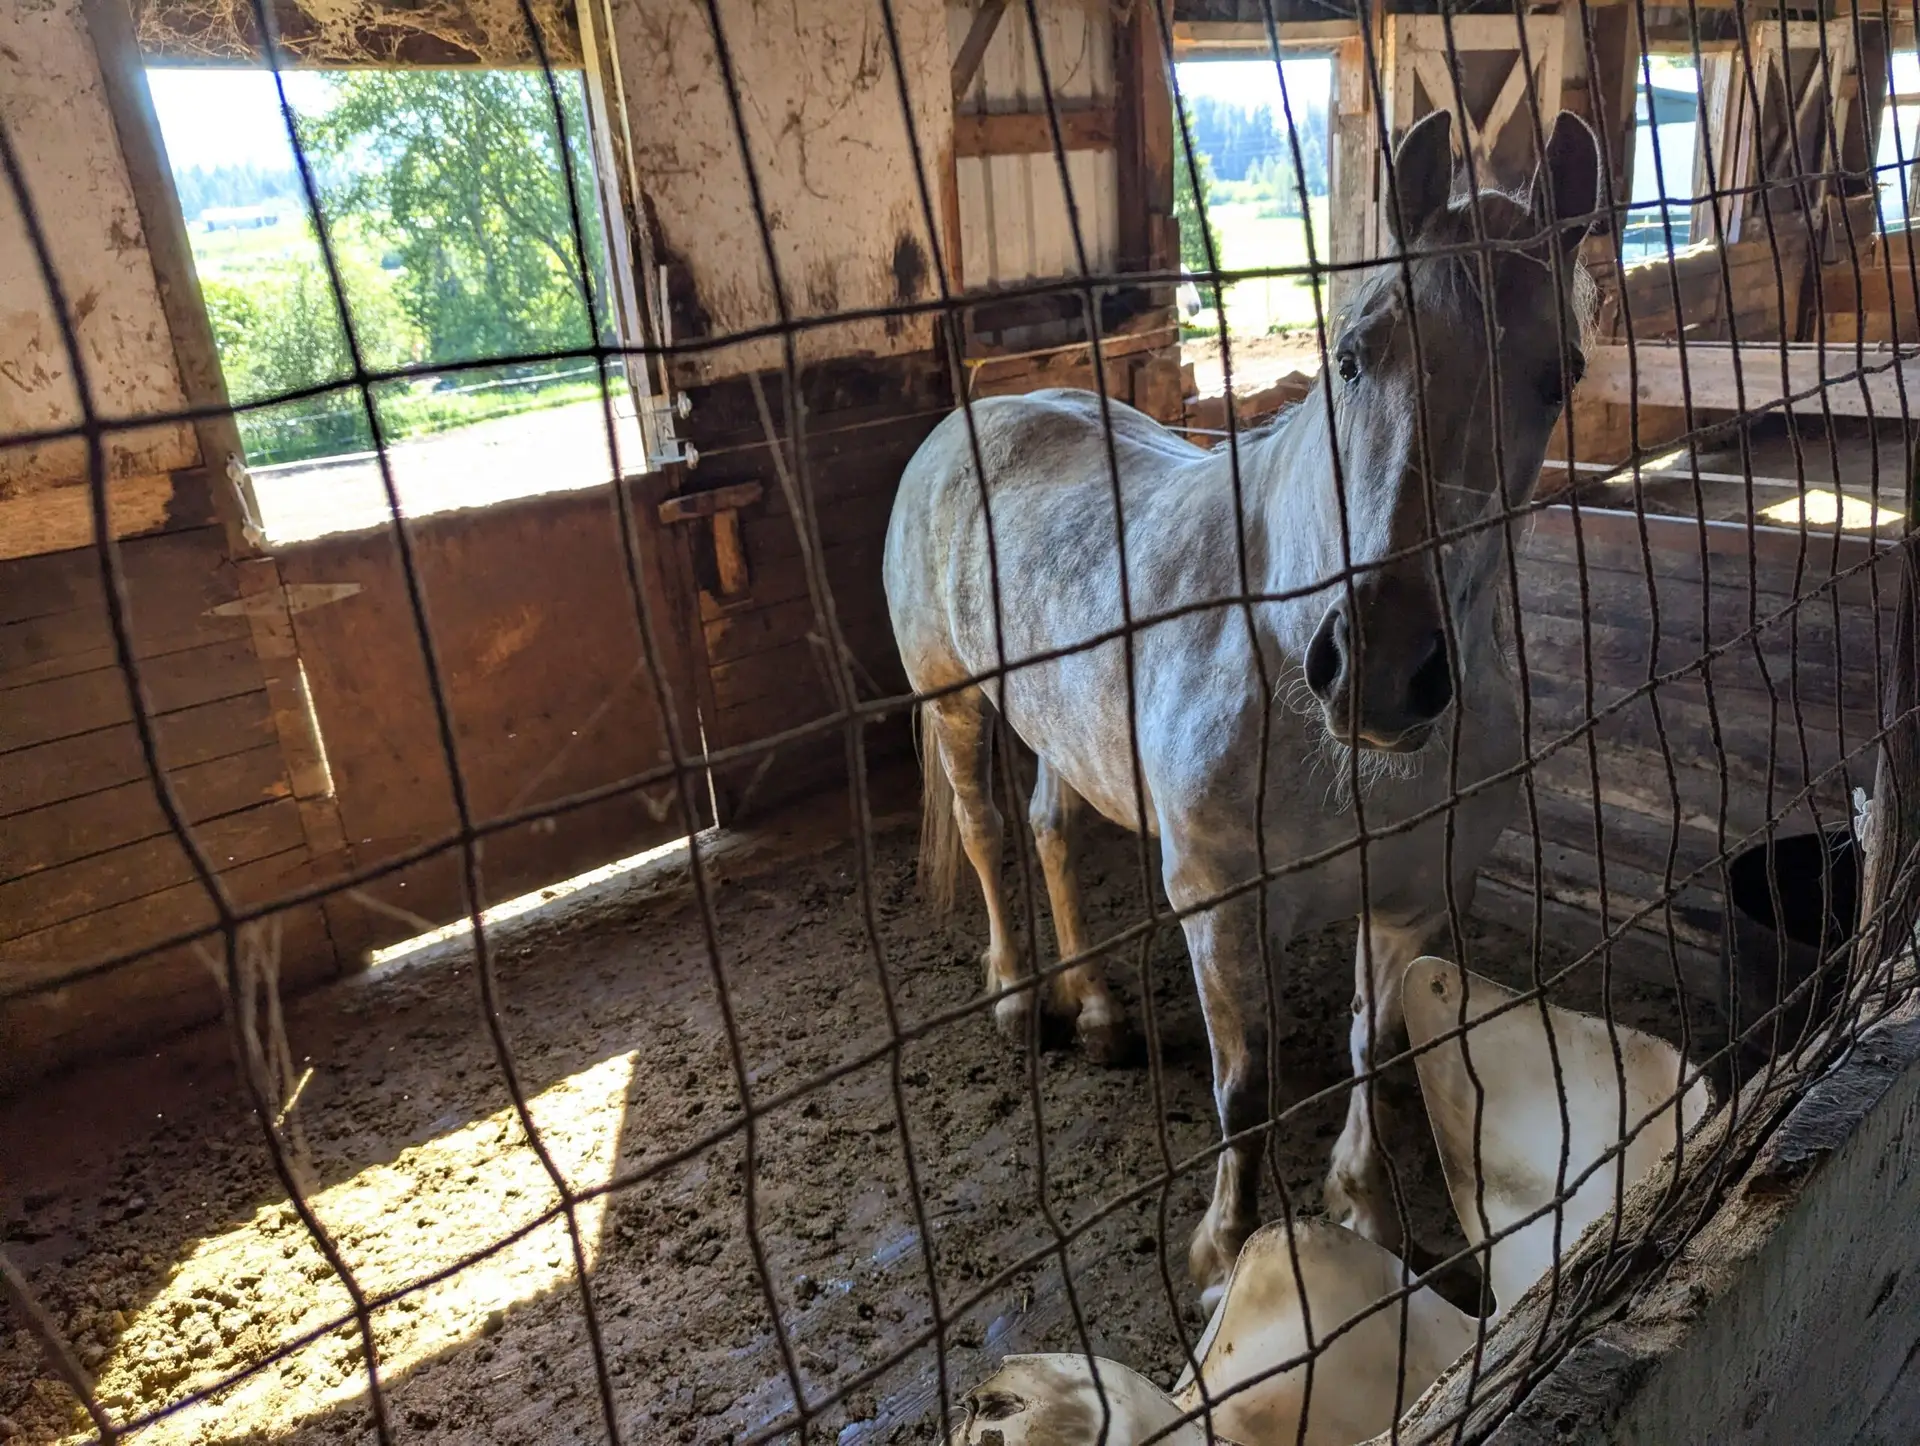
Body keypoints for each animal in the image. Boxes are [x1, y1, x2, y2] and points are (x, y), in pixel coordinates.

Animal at [883, 108, 1602, 1301]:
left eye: (1560, 377)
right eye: (1353, 353)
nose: (1379, 669)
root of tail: (978, 413)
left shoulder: (1413, 899)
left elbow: (1372, 1051)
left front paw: (1363, 1210)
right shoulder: (1218, 909)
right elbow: (1247, 1090)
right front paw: (1227, 1256)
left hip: (1062, 731)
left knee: (1049, 830)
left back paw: (1099, 1011)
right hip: (953, 703)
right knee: (987, 834)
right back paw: (1018, 997)